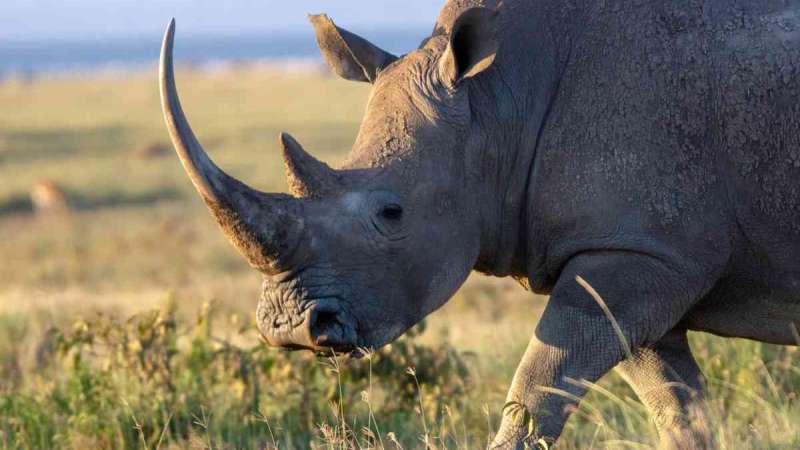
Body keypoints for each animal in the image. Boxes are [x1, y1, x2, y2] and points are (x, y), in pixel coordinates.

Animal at [158, 0, 800, 448]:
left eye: (391, 213)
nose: (290, 327)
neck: (495, 103)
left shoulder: (643, 256)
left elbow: (537, 386)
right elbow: (677, 408)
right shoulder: (631, 251)